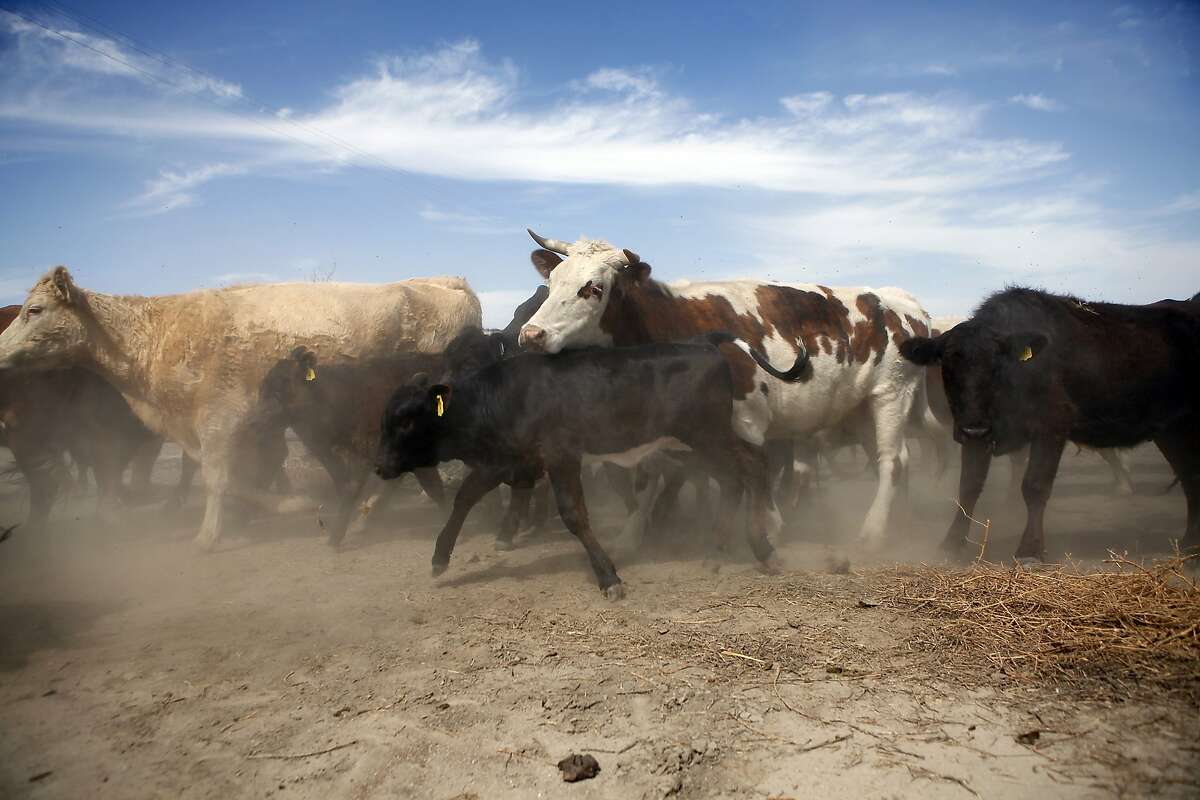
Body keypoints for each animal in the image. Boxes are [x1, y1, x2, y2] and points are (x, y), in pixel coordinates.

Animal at [0, 268, 482, 551]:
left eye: (34, 310)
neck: (158, 334)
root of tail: (446, 281)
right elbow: (239, 477)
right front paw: (275, 508)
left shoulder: (220, 421)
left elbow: (219, 478)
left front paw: (209, 535)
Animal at [374, 333, 806, 599]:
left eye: (408, 420)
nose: (379, 466)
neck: (504, 396)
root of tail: (703, 343)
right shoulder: (505, 461)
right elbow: (464, 497)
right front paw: (440, 558)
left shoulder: (561, 457)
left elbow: (574, 515)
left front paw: (608, 577)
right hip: (693, 444)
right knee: (739, 475)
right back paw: (722, 551)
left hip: (707, 436)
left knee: (750, 470)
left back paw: (760, 549)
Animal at [513, 227, 926, 546]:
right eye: (553, 282)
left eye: (593, 288)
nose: (532, 335)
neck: (664, 322)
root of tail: (901, 301)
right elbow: (648, 479)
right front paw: (632, 536)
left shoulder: (748, 416)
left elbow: (754, 470)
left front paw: (766, 526)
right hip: (858, 409)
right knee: (897, 461)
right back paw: (902, 524)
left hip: (890, 394)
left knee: (891, 462)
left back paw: (873, 533)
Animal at [902, 289, 1200, 563]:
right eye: (947, 364)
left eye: (997, 364)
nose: (972, 428)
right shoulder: (980, 433)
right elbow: (969, 486)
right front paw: (951, 544)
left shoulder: (1051, 427)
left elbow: (1035, 486)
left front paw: (1030, 550)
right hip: (1172, 431)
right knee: (1189, 477)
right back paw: (1190, 545)